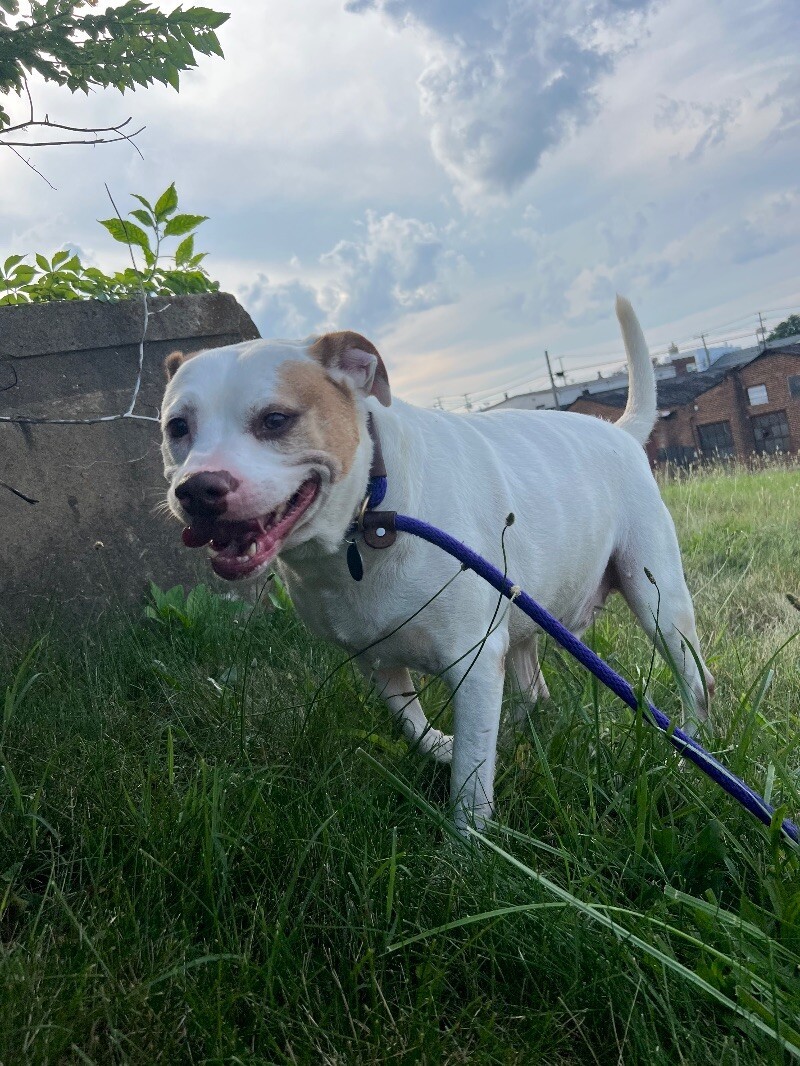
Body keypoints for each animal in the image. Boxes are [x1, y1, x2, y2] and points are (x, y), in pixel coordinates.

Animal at [161, 298, 712, 831]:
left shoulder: (473, 659)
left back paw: (686, 755)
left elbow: (471, 773)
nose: (197, 490)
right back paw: (518, 733)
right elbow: (415, 724)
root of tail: (621, 433)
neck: (369, 517)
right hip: (523, 614)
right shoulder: (374, 657)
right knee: (532, 690)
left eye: (275, 420)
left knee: (696, 682)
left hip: (659, 602)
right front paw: (444, 747)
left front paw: (466, 845)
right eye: (176, 427)